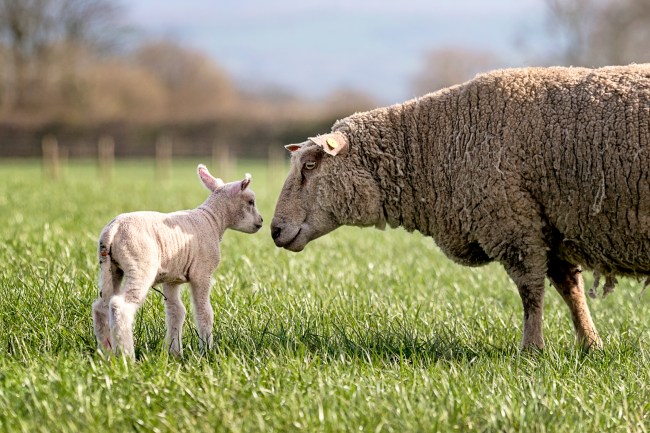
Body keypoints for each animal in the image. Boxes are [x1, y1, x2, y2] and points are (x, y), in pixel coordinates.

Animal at [92, 164, 263, 359]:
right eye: (250, 202)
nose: (261, 221)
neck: (213, 220)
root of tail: (113, 230)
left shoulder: (172, 278)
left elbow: (176, 312)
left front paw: (174, 353)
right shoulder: (201, 273)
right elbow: (204, 312)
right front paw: (206, 350)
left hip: (109, 267)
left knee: (101, 306)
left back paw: (105, 353)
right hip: (140, 265)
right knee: (120, 306)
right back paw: (126, 356)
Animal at [271, 64, 650, 351]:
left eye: (310, 166)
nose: (274, 230)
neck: (433, 146)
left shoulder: (513, 224)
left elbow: (531, 292)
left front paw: (531, 351)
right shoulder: (549, 226)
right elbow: (571, 292)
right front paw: (591, 346)